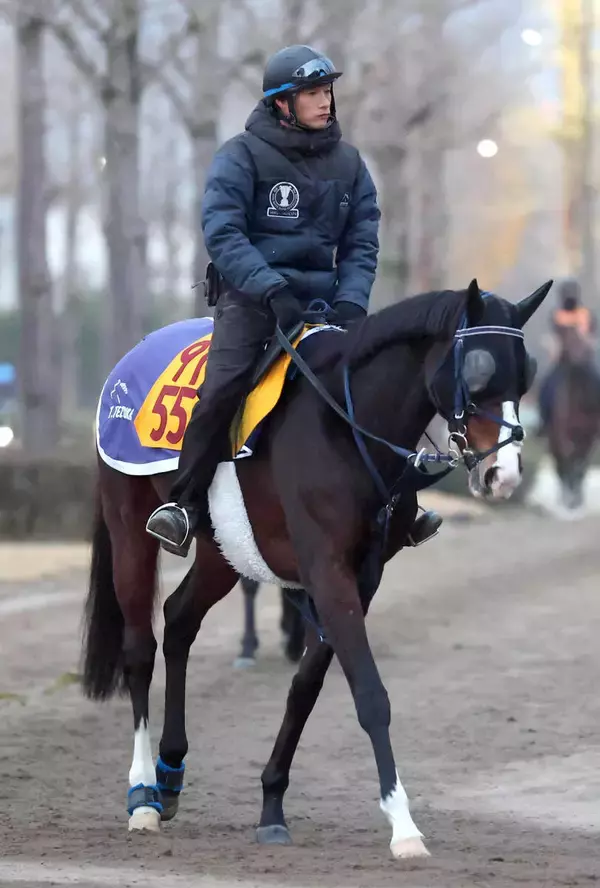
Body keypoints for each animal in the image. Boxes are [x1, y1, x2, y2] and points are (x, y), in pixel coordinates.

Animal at [82, 278, 550, 860]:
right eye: (480, 369)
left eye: (525, 373)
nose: (502, 475)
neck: (345, 428)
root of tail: (130, 359)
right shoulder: (327, 571)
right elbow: (369, 693)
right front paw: (403, 825)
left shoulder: (361, 577)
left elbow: (306, 686)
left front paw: (271, 803)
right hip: (129, 526)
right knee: (139, 651)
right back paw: (144, 794)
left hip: (223, 550)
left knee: (180, 619)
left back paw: (170, 773)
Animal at [544, 323, 600, 511]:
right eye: (567, 341)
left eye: (583, 342)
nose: (577, 358)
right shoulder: (560, 435)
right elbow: (566, 462)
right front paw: (569, 499)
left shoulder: (589, 438)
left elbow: (581, 464)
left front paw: (577, 498)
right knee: (560, 463)